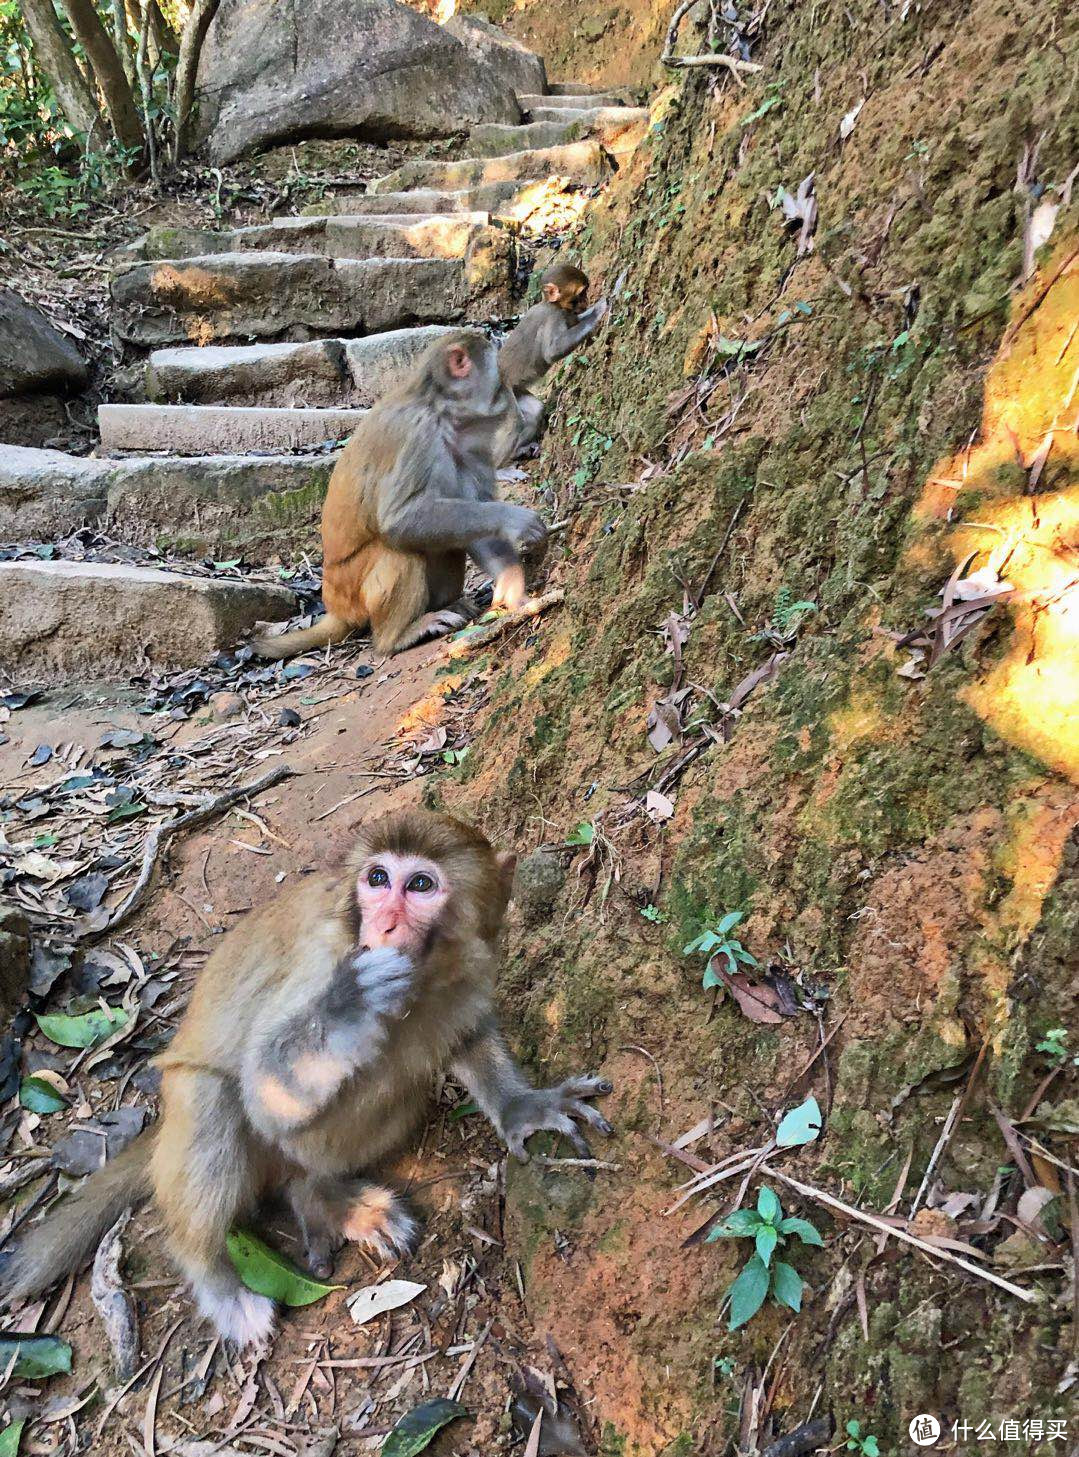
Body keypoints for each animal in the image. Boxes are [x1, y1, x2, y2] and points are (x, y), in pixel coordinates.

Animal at [4, 815, 614, 1346]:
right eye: (377, 879)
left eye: (420, 884)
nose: (384, 925)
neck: (425, 973)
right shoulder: (321, 961)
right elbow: (263, 1090)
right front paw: (350, 1004)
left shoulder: (471, 964)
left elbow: (467, 1034)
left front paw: (522, 1107)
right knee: (216, 1098)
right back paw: (218, 1280)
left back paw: (318, 1195)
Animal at [251, 333, 547, 658]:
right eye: (498, 367)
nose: (511, 389)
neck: (442, 411)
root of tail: (335, 606)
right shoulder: (417, 434)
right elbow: (398, 519)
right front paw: (514, 519)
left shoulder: (471, 449)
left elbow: (479, 528)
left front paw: (511, 584)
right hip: (353, 593)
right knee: (399, 550)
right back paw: (397, 637)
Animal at [495, 262, 605, 460]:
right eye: (580, 294)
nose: (586, 301)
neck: (550, 303)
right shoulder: (554, 317)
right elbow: (552, 352)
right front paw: (598, 312)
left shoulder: (567, 314)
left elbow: (576, 320)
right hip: (503, 399)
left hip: (516, 391)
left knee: (534, 410)